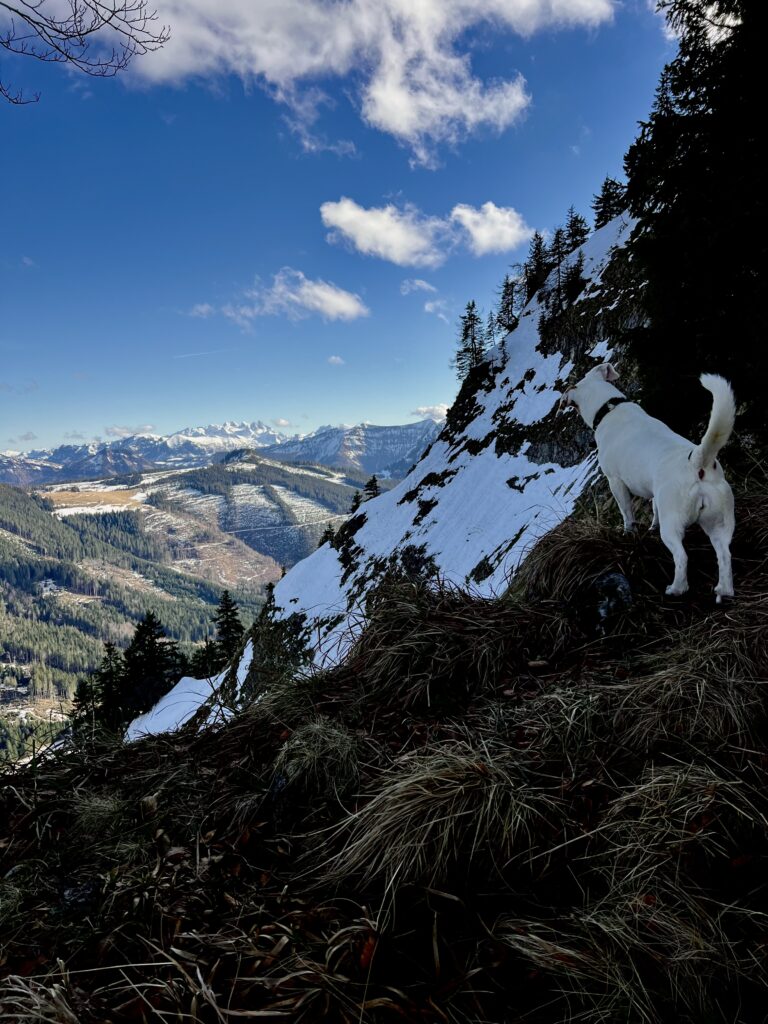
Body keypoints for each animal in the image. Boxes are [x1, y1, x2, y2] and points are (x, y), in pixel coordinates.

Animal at [561, 364, 737, 598]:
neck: (609, 408)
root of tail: (697, 462)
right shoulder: (654, 493)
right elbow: (654, 509)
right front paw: (652, 525)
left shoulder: (615, 482)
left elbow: (626, 513)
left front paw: (629, 533)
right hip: (719, 522)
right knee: (724, 555)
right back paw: (723, 590)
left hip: (673, 524)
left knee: (682, 558)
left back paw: (675, 589)